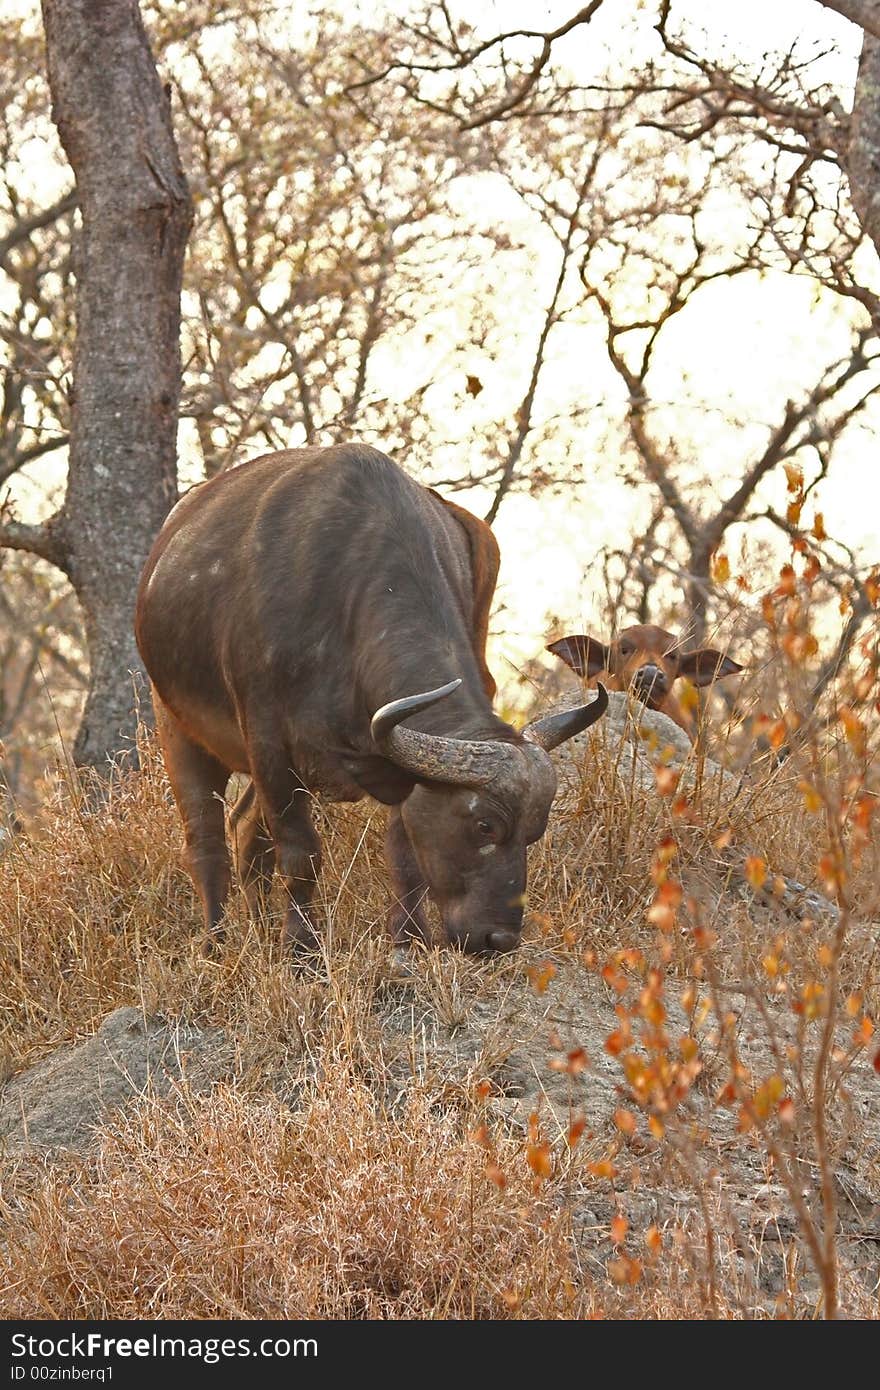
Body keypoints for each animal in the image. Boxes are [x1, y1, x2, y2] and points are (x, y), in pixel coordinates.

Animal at [135, 444, 603, 956]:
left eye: (534, 831)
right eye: (485, 826)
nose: (498, 938)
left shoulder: (399, 769)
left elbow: (404, 856)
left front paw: (408, 942)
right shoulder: (269, 745)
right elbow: (299, 853)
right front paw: (302, 952)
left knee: (244, 833)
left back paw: (261, 934)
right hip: (178, 727)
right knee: (206, 842)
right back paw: (216, 945)